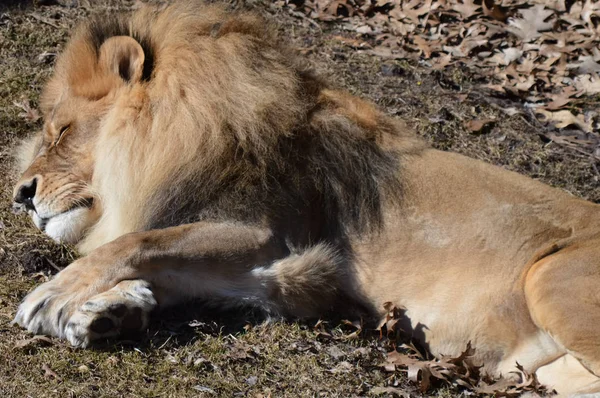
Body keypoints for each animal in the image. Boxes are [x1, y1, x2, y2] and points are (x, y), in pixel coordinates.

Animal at [8, 2, 600, 394]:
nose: (20, 195)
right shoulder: (283, 268)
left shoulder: (264, 232)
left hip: (549, 278)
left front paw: (53, 296)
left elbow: (137, 241)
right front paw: (110, 310)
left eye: (61, 132)